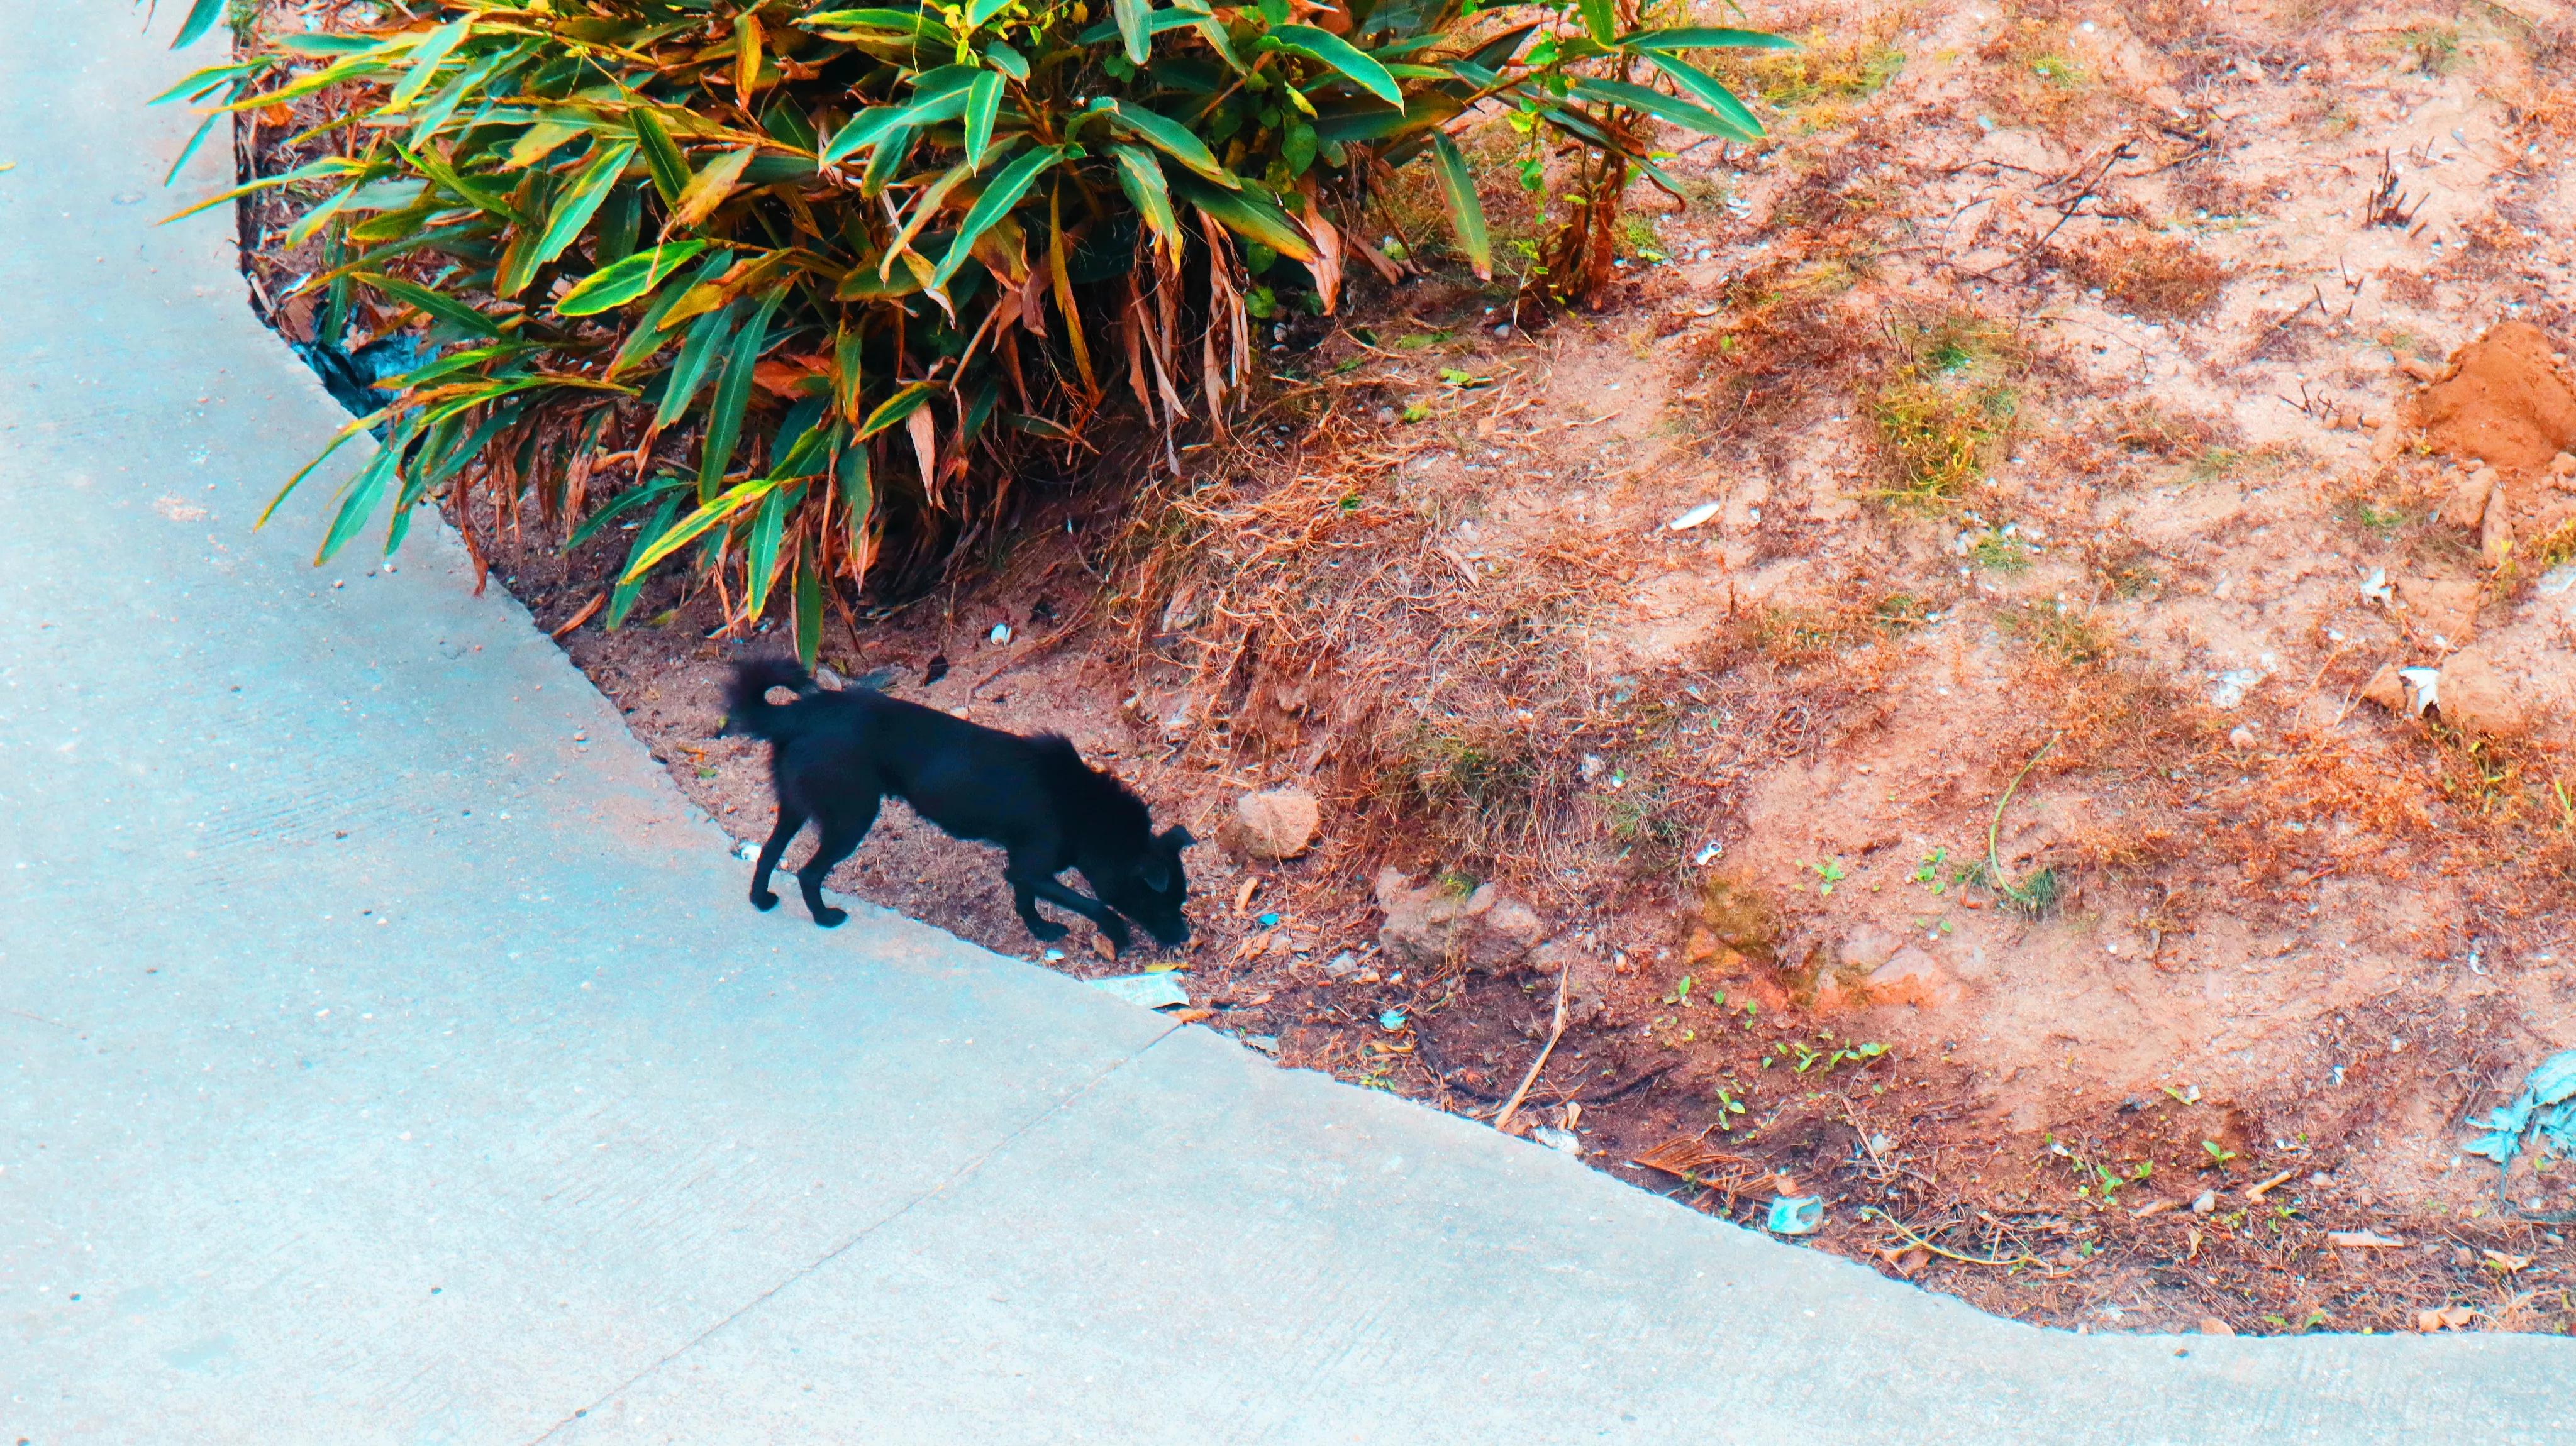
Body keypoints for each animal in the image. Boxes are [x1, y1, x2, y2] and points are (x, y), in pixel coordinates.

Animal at [716, 658, 1195, 952]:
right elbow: (1092, 904)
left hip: (796, 807)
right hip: (851, 818)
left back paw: (761, 900)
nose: (1184, 938)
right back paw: (824, 918)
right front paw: (1114, 931)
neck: (1088, 812)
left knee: (769, 853)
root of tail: (801, 714)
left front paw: (1040, 930)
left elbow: (1025, 900)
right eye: (1162, 904)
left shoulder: (1021, 865)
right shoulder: (1034, 865)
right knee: (808, 872)